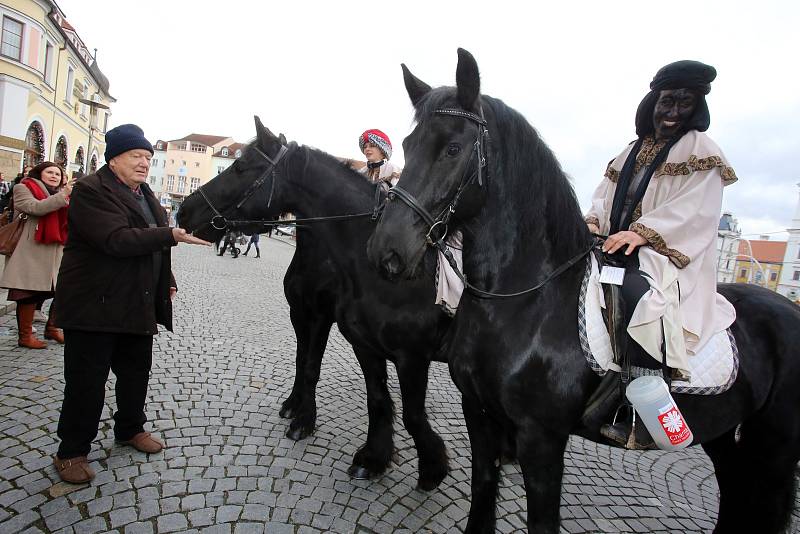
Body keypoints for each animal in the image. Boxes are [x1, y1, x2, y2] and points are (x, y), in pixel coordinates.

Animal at [177, 119, 450, 492]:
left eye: (241, 167)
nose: (183, 211)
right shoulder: (310, 318)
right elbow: (308, 364)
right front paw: (298, 408)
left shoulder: (331, 322)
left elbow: (315, 369)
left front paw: (304, 422)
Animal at [368, 48, 800, 532]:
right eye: (407, 146)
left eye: (453, 148)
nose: (387, 251)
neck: (526, 303)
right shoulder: (479, 416)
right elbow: (481, 497)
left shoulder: (541, 439)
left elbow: (542, 521)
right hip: (726, 434)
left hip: (776, 446)